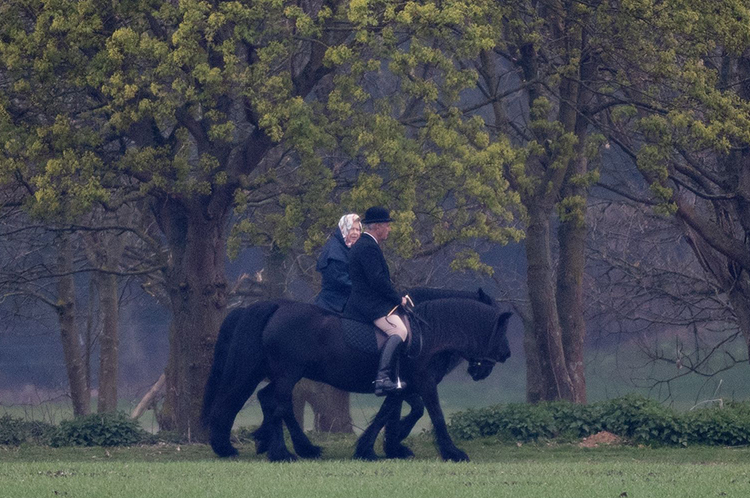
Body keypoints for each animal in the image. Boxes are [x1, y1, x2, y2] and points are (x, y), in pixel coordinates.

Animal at [203, 296, 516, 462]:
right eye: (501, 331)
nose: (507, 354)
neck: (430, 335)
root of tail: (278, 308)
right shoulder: (424, 383)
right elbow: (435, 415)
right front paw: (452, 451)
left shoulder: (402, 386)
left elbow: (390, 413)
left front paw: (377, 447)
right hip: (287, 374)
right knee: (277, 405)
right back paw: (285, 451)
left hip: (283, 374)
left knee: (268, 400)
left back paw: (290, 446)